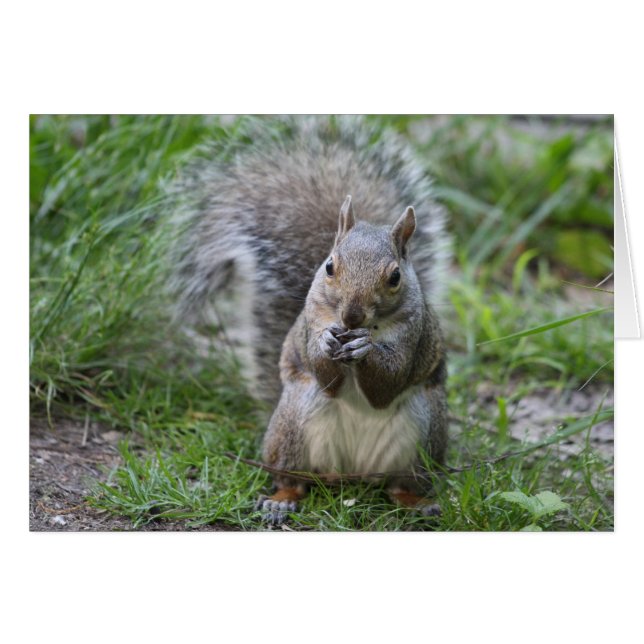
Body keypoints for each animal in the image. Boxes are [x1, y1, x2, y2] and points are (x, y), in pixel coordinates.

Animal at [169, 116, 451, 524]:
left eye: (395, 277)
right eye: (330, 266)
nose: (350, 315)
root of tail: (353, 475)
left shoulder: (412, 335)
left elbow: (389, 381)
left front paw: (366, 349)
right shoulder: (311, 321)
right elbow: (324, 373)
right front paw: (326, 345)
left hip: (423, 436)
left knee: (400, 485)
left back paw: (418, 504)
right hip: (292, 426)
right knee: (294, 479)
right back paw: (281, 500)